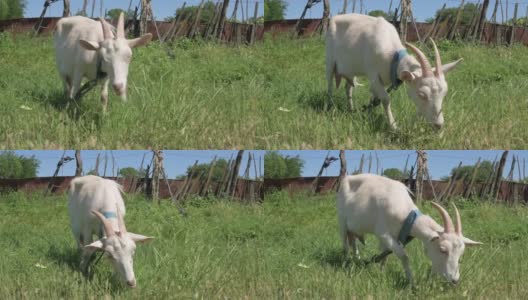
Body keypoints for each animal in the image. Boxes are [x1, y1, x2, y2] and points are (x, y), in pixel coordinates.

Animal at [326, 14, 462, 129]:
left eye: (444, 94)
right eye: (422, 94)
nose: (438, 125)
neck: (392, 56)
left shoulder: (382, 80)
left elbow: (375, 97)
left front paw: (368, 114)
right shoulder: (373, 75)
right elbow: (386, 99)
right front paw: (393, 126)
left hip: (351, 70)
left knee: (348, 87)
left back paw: (351, 109)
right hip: (330, 59)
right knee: (330, 85)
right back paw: (329, 107)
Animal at [338, 172, 482, 284]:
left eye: (461, 253)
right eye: (442, 250)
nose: (455, 280)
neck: (406, 215)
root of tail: (346, 178)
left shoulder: (392, 237)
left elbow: (385, 257)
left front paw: (381, 272)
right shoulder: (383, 233)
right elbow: (404, 256)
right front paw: (411, 282)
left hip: (354, 228)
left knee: (353, 241)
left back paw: (357, 260)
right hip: (342, 221)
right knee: (345, 245)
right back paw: (345, 263)